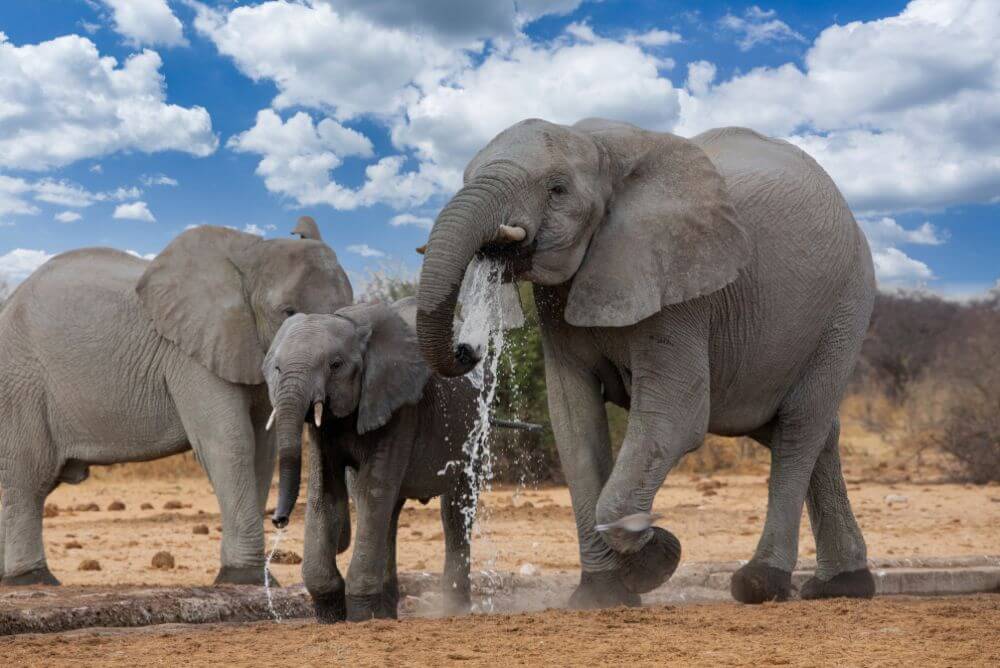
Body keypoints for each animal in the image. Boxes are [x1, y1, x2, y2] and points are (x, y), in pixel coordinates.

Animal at [0, 225, 352, 586]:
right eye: (287, 313)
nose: (281, 521)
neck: (251, 251)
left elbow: (263, 451)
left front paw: (261, 579)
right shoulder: (191, 355)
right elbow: (230, 443)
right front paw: (243, 578)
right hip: (20, 383)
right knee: (31, 476)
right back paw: (33, 580)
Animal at [264, 297, 478, 622]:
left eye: (335, 365)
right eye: (276, 368)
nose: (278, 520)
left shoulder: (399, 407)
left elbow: (372, 491)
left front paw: (360, 616)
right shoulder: (323, 431)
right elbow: (325, 494)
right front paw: (331, 615)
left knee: (455, 508)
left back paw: (454, 609)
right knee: (389, 512)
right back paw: (386, 613)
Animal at [415, 118, 877, 607]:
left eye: (557, 189)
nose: (469, 349)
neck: (602, 150)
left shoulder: (680, 283)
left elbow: (675, 418)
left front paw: (655, 554)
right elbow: (574, 423)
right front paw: (603, 595)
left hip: (846, 305)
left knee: (798, 428)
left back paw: (761, 583)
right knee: (807, 429)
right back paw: (842, 585)